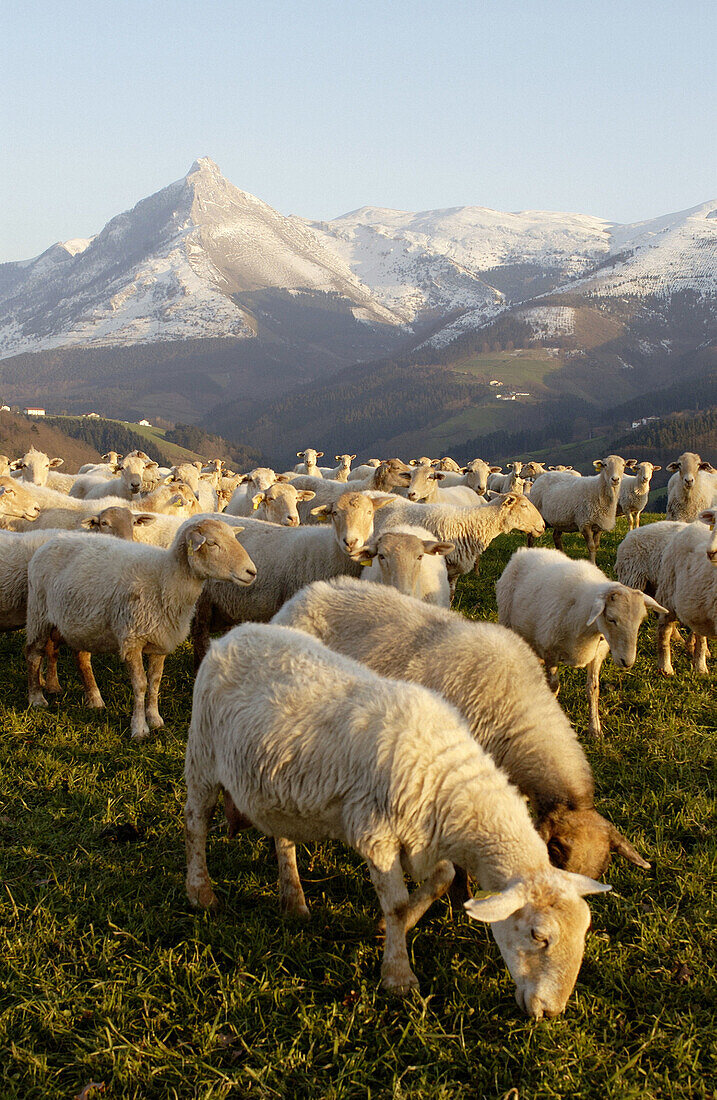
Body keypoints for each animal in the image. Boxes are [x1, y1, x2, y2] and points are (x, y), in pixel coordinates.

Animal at [26, 514, 256, 739]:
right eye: (212, 543)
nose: (251, 572)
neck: (165, 578)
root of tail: (55, 539)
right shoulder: (132, 640)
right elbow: (140, 684)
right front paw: (139, 728)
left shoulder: (160, 640)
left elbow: (155, 681)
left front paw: (155, 719)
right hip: (38, 612)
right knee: (34, 653)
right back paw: (37, 697)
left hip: (80, 622)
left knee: (76, 655)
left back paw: (87, 696)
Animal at [183, 620, 611, 1012]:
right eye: (539, 936)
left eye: (584, 932)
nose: (549, 1012)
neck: (446, 779)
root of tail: (235, 634)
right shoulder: (377, 836)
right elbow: (398, 904)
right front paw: (398, 975)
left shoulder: (421, 839)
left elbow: (443, 878)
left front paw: (391, 930)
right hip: (202, 753)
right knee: (195, 824)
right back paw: (201, 893)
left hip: (277, 782)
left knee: (281, 835)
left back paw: (294, 899)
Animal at [492, 545, 668, 734]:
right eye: (611, 619)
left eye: (640, 621)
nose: (626, 662)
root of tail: (526, 550)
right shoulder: (550, 650)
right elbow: (554, 687)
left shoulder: (596, 654)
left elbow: (593, 689)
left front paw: (595, 728)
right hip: (508, 621)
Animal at [655, 508, 717, 677]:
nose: (711, 553)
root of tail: (691, 527)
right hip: (667, 594)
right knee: (664, 631)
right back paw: (665, 668)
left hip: (698, 606)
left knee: (700, 635)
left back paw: (700, 666)